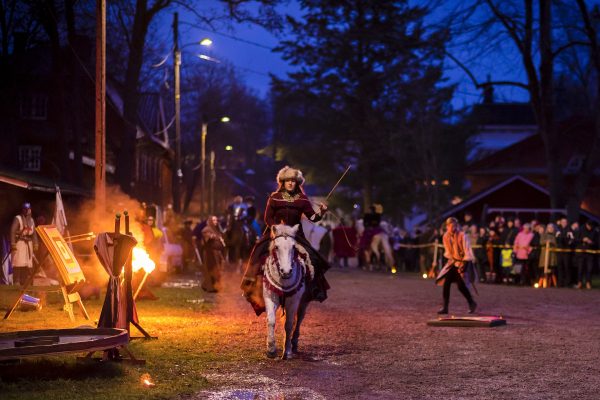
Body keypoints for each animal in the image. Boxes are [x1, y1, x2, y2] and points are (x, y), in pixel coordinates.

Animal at [262, 225, 314, 360]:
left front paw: (287, 351)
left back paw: (293, 343)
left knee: (299, 318)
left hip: (304, 302)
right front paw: (271, 349)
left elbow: (289, 324)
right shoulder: (270, 297)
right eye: (276, 247)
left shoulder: (293, 301)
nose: (286, 271)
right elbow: (271, 320)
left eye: (293, 247)